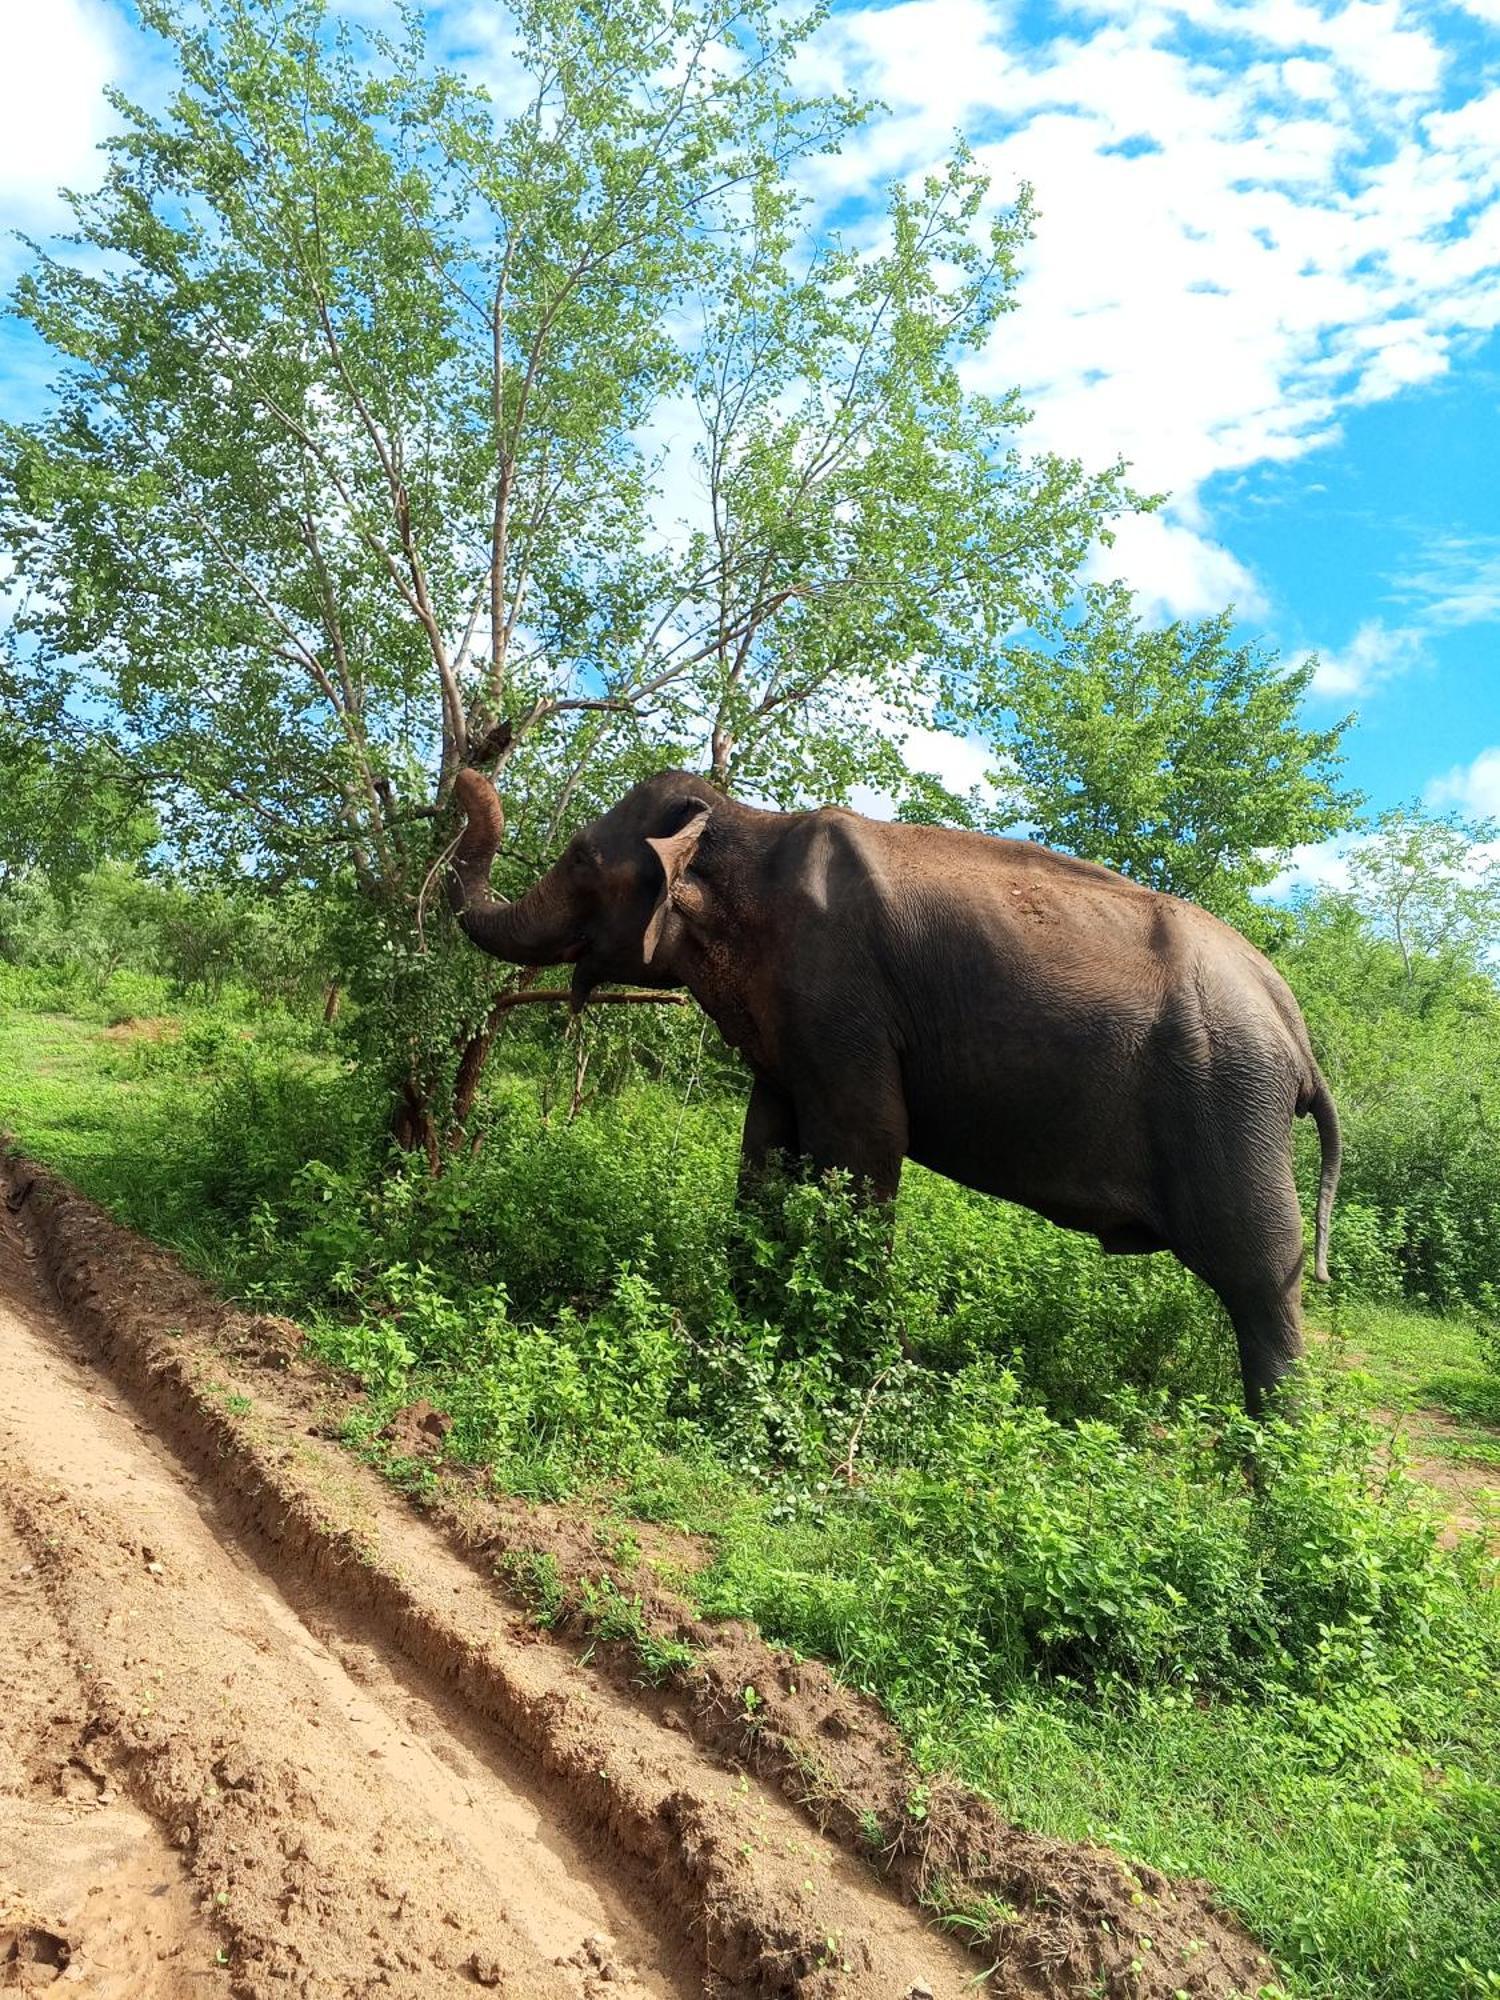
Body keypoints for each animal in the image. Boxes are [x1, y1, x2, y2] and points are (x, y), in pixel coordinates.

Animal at [444, 760, 1336, 1408]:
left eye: (579, 859)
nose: (466, 771)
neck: (752, 827)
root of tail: (1299, 1035)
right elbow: (766, 1147)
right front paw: (745, 1320)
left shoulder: (845, 999)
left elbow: (863, 1147)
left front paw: (864, 1363)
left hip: (1231, 1103)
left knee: (1260, 1281)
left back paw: (1275, 1473)